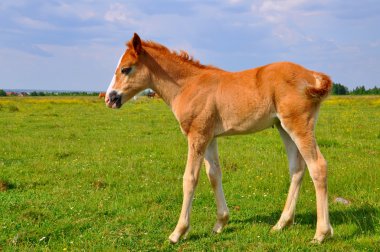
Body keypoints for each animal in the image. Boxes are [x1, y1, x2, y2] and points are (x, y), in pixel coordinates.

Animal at [104, 32, 332, 243]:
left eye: (125, 68)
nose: (110, 98)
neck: (188, 86)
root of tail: (313, 76)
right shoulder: (209, 136)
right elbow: (214, 174)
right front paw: (220, 223)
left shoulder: (197, 135)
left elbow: (190, 178)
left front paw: (178, 232)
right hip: (283, 128)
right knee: (297, 168)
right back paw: (281, 224)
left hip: (298, 125)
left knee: (317, 166)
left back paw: (321, 233)